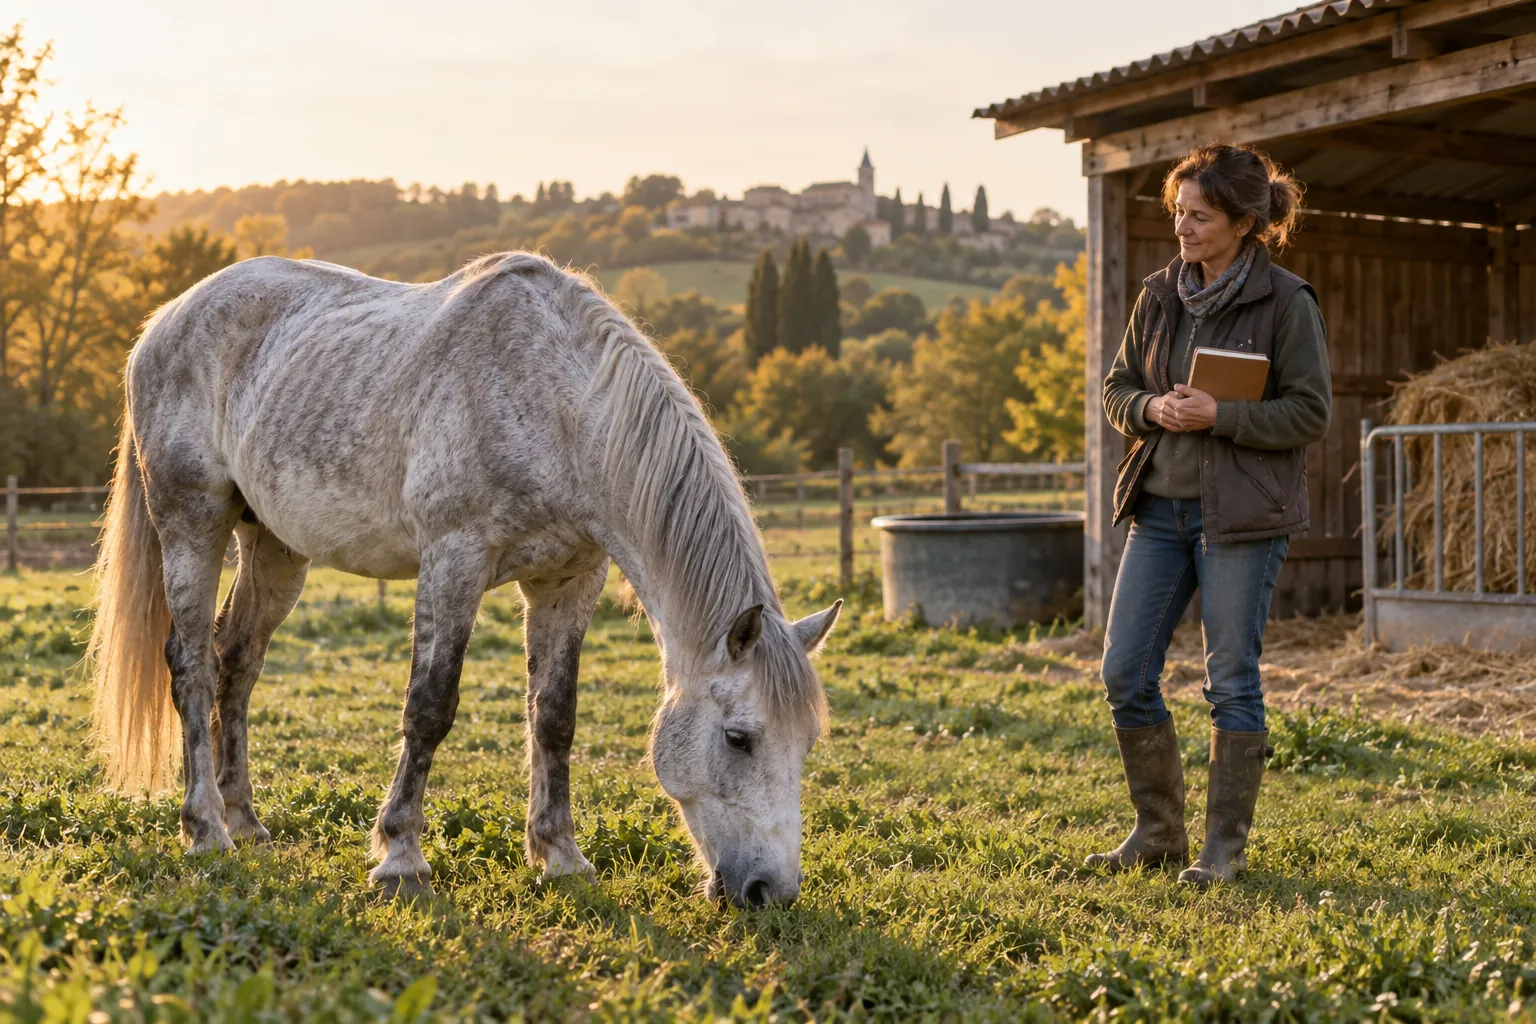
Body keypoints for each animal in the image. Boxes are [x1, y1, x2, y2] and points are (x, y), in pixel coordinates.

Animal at [86, 251, 841, 908]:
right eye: (739, 738)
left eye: (806, 743)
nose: (770, 891)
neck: (559, 404)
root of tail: (166, 320)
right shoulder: (454, 560)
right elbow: (429, 707)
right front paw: (400, 859)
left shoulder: (569, 581)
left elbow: (554, 717)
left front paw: (560, 856)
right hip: (192, 523)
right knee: (192, 666)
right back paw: (207, 830)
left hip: (273, 548)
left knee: (236, 663)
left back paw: (245, 820)